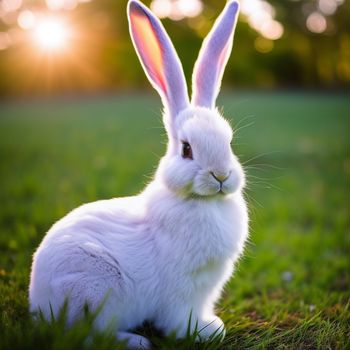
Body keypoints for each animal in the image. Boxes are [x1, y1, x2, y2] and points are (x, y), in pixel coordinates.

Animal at [30, 1, 249, 348]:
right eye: (186, 149)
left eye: (229, 142)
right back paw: (136, 341)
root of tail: (38, 303)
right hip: (95, 291)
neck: (201, 201)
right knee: (87, 335)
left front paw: (211, 325)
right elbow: (178, 319)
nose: (221, 175)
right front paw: (202, 332)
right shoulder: (183, 291)